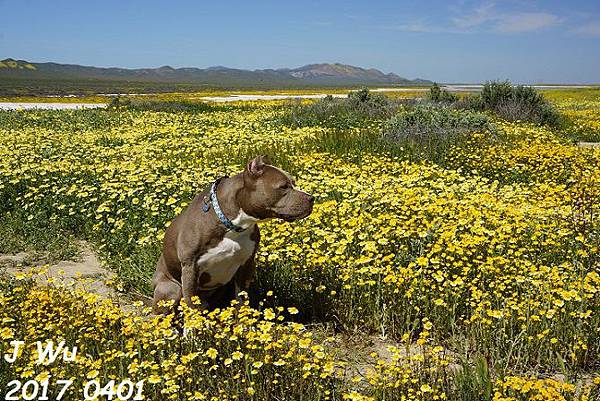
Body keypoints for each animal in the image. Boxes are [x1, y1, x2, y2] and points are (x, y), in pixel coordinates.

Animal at [151, 155, 314, 314]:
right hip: (171, 289)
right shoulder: (190, 268)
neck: (233, 225)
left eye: (293, 183)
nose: (311, 198)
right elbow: (192, 307)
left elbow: (241, 301)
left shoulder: (246, 264)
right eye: (284, 186)